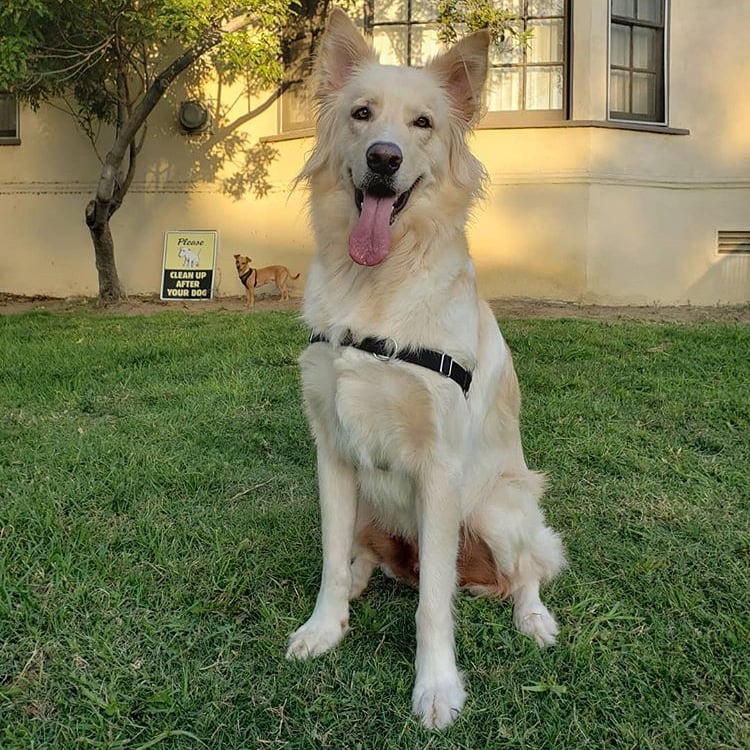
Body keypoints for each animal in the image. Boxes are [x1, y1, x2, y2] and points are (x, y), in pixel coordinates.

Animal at [284, 8, 568, 732]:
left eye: (423, 124)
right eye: (361, 113)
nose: (384, 158)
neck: (377, 288)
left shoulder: (440, 469)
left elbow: (434, 604)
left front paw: (437, 687)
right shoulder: (332, 452)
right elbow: (330, 562)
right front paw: (325, 627)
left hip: (497, 506)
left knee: (525, 570)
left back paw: (535, 619)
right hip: (371, 506)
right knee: (368, 559)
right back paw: (365, 577)